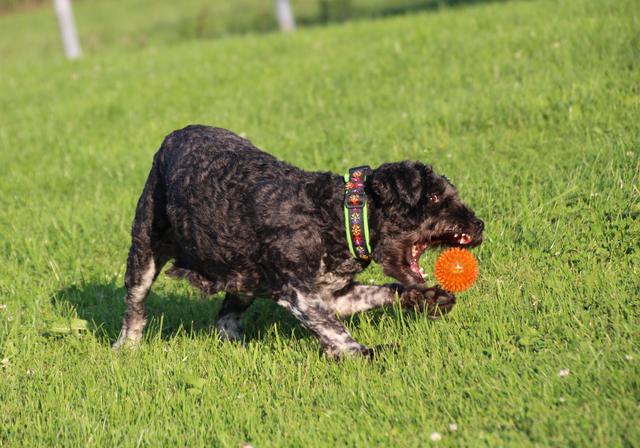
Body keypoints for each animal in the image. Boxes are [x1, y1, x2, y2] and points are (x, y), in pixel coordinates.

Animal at [115, 125, 482, 356]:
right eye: (434, 198)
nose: (479, 225)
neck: (335, 216)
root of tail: (172, 137)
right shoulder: (300, 293)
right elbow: (333, 330)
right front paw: (364, 352)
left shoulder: (334, 294)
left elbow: (383, 291)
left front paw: (428, 298)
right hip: (144, 253)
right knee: (135, 307)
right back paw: (126, 348)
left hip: (244, 278)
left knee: (225, 317)